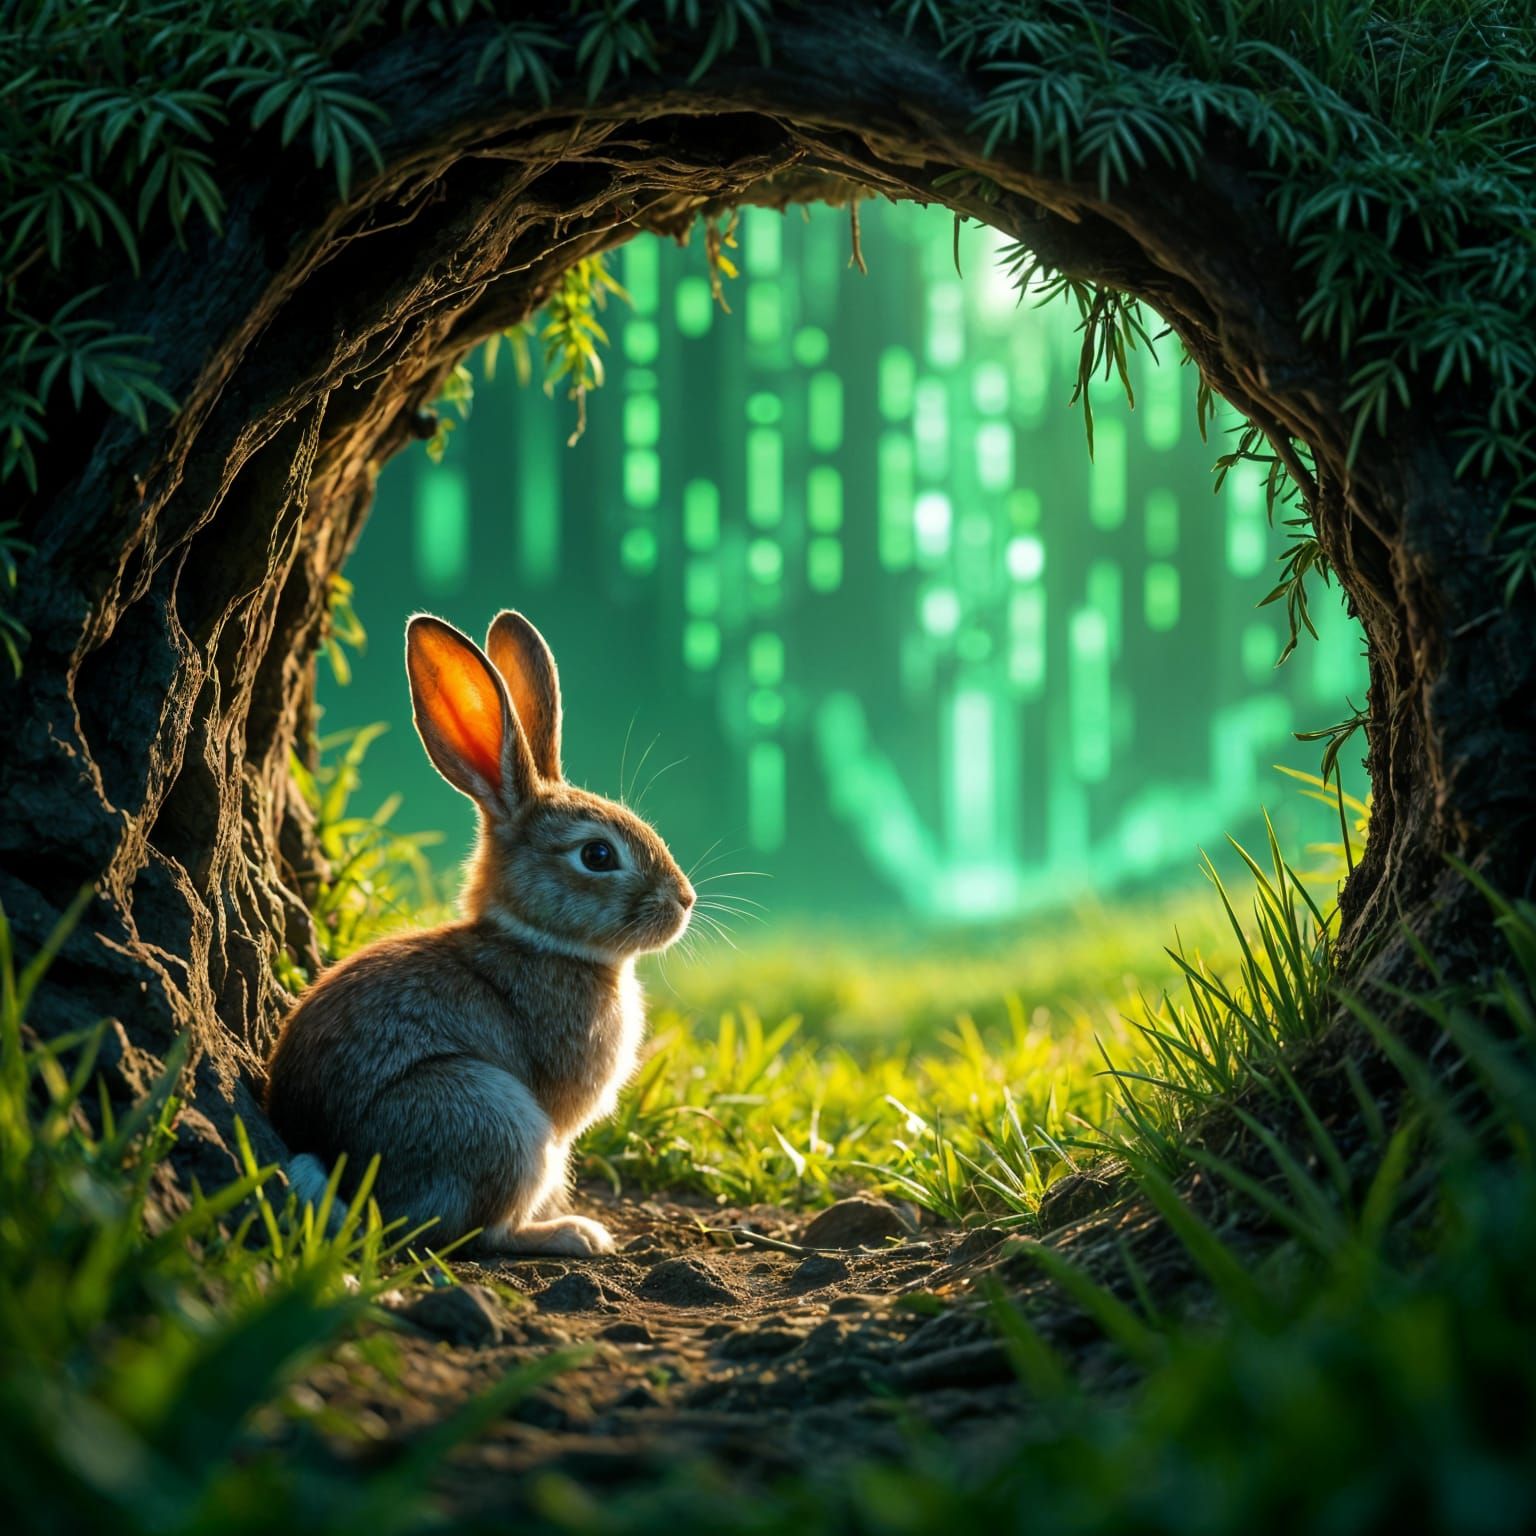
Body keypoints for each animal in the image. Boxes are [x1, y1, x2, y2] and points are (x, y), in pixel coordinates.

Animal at [264, 609, 695, 1257]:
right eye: (597, 855)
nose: (684, 902)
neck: (537, 940)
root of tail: (346, 1176)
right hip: (492, 1114)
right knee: (479, 1232)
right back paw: (572, 1234)